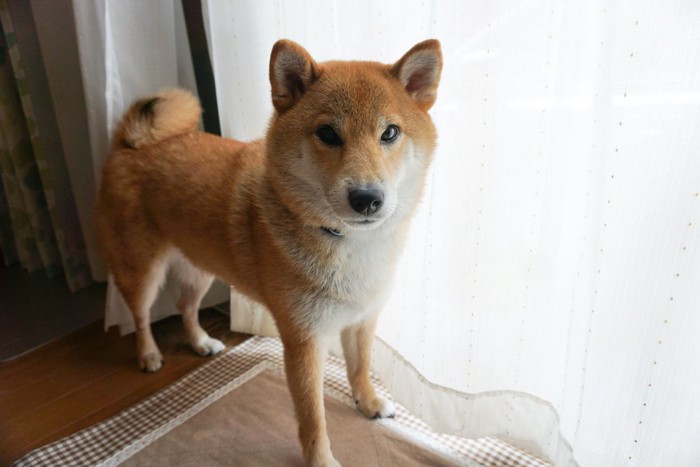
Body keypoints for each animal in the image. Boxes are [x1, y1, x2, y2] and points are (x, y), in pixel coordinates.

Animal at [95, 38, 440, 466]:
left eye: (390, 132)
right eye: (327, 133)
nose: (366, 199)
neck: (347, 244)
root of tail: (127, 143)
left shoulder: (362, 319)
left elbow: (359, 369)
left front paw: (369, 403)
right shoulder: (304, 341)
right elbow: (313, 418)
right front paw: (321, 459)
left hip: (199, 267)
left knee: (185, 306)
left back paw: (200, 342)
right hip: (141, 269)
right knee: (141, 316)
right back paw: (148, 355)